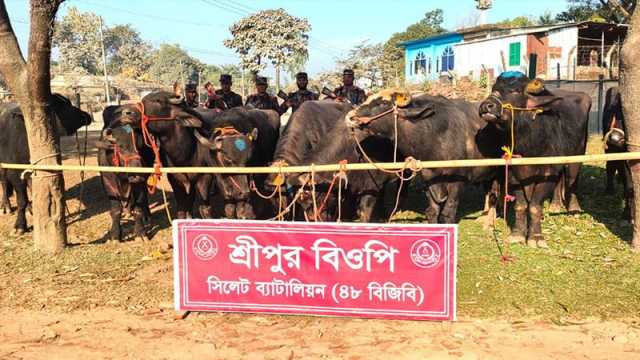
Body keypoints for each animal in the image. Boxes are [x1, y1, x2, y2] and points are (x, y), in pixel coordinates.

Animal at [0, 94, 91, 235]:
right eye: (62, 105)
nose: (86, 115)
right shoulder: (14, 173)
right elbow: (21, 200)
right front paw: (20, 226)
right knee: (4, 183)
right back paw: (6, 206)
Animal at [344, 89, 504, 225]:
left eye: (382, 103)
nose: (350, 117)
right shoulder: (429, 178)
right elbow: (432, 211)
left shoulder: (458, 181)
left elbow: (448, 213)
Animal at [480, 73, 592, 248]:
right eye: (494, 89)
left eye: (515, 90)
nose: (487, 105)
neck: (529, 142)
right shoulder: (514, 176)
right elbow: (520, 205)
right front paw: (518, 235)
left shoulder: (546, 174)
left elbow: (534, 206)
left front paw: (536, 237)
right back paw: (555, 205)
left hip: (578, 154)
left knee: (572, 180)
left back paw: (574, 209)